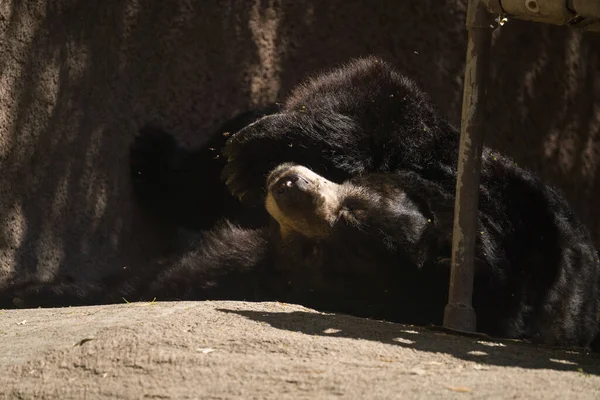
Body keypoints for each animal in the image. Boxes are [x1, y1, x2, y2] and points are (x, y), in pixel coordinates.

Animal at [1, 57, 600, 352]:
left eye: (327, 252)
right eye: (358, 195)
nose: (288, 186)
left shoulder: (267, 267)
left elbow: (176, 277)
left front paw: (32, 291)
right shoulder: (501, 197)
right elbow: (380, 98)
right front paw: (250, 153)